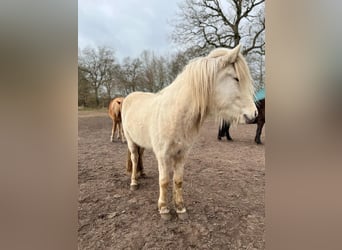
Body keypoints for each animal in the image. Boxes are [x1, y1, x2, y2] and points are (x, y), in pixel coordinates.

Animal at [121, 45, 258, 221]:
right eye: (236, 78)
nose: (254, 114)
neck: (175, 114)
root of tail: (129, 97)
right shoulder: (163, 156)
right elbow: (164, 181)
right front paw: (164, 209)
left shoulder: (182, 154)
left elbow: (178, 180)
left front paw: (180, 209)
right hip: (131, 141)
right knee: (134, 157)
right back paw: (134, 182)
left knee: (140, 156)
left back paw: (141, 174)